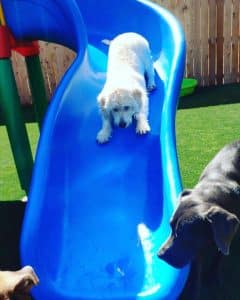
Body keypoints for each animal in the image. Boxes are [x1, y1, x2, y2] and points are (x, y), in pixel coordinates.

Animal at [158, 141, 240, 298]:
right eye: (170, 226)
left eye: (185, 234)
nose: (160, 255)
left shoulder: (226, 233)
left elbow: (220, 252)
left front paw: (212, 275)